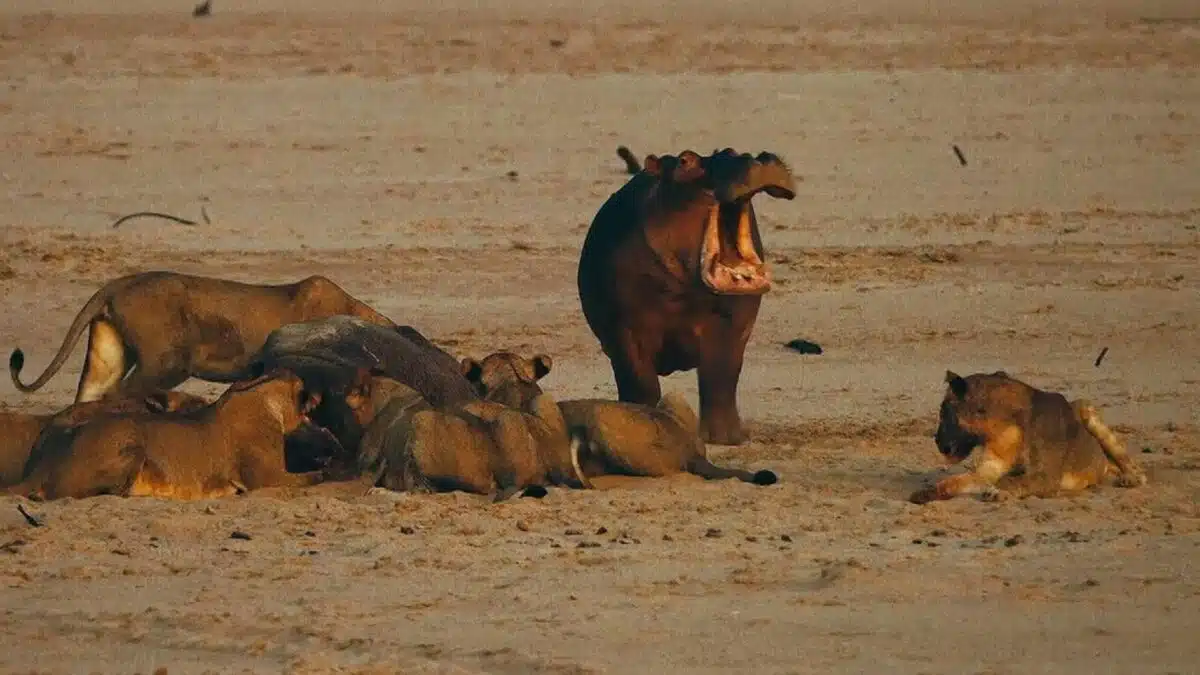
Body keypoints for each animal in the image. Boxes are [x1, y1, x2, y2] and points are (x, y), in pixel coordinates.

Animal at [902, 367, 1147, 504]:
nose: (936, 440)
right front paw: (926, 493)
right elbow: (956, 480)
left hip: (1085, 407)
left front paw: (997, 493)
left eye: (943, 411)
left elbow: (1012, 480)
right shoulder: (989, 468)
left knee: (1132, 466)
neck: (999, 427)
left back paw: (1130, 479)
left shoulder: (1046, 476)